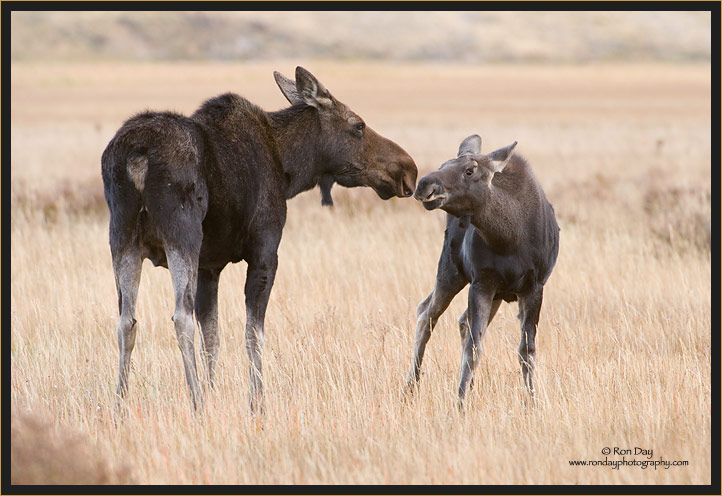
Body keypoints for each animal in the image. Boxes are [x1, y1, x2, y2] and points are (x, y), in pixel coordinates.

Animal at [101, 67, 416, 414]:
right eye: (358, 126)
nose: (408, 169)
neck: (289, 167)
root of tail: (137, 157)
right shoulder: (265, 252)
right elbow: (253, 334)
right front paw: (256, 403)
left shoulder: (210, 266)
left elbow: (212, 336)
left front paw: (214, 393)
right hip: (181, 234)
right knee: (180, 318)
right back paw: (195, 404)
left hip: (122, 238)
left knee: (126, 322)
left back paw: (119, 406)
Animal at [404, 135, 556, 406]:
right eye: (443, 164)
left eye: (469, 170)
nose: (424, 184)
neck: (508, 239)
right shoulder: (481, 282)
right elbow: (474, 349)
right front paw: (460, 404)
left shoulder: (534, 286)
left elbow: (527, 350)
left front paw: (531, 402)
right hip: (451, 271)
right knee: (426, 314)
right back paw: (411, 387)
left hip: (495, 293)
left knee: (459, 320)